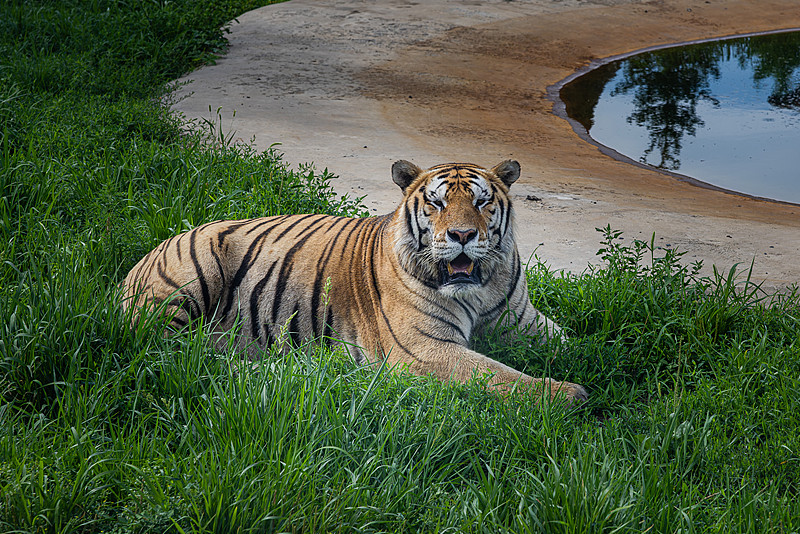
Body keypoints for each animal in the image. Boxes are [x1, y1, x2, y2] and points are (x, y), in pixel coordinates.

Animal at [122, 160, 587, 403]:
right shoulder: (425, 349)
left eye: (482, 201)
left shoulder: (527, 324)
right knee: (169, 352)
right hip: (190, 277)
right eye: (437, 204)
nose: (461, 235)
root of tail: (140, 259)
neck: (481, 287)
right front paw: (569, 394)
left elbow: (575, 341)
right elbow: (498, 375)